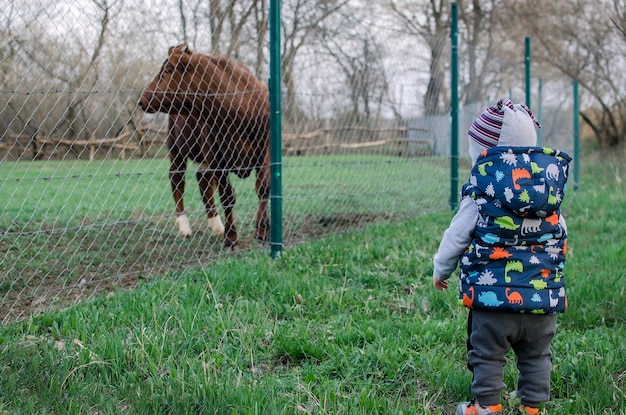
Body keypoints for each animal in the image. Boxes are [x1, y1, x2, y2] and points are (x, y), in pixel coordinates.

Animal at [139, 45, 268, 247]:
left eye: (167, 71)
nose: (142, 100)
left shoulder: (266, 150)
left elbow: (263, 188)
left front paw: (262, 232)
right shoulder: (218, 158)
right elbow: (227, 196)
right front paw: (231, 237)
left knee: (204, 182)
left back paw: (217, 226)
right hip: (176, 150)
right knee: (177, 180)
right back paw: (184, 227)